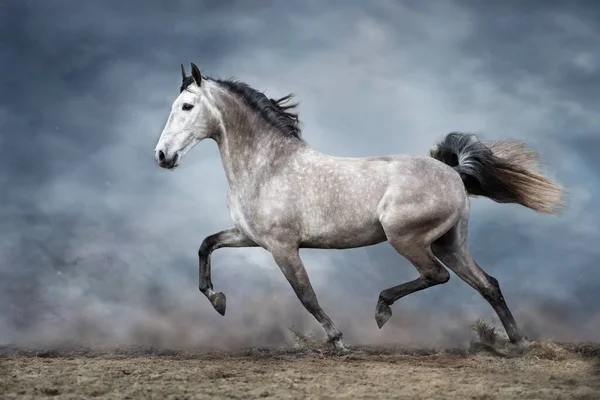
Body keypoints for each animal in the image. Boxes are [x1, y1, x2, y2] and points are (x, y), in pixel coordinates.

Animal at [152, 61, 564, 352]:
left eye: (186, 106)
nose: (162, 156)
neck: (268, 166)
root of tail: (453, 173)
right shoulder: (249, 236)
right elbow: (206, 245)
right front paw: (217, 300)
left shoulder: (282, 247)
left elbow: (306, 295)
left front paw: (338, 340)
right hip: (451, 243)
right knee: (487, 284)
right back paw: (519, 343)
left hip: (406, 239)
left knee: (436, 275)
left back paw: (382, 309)